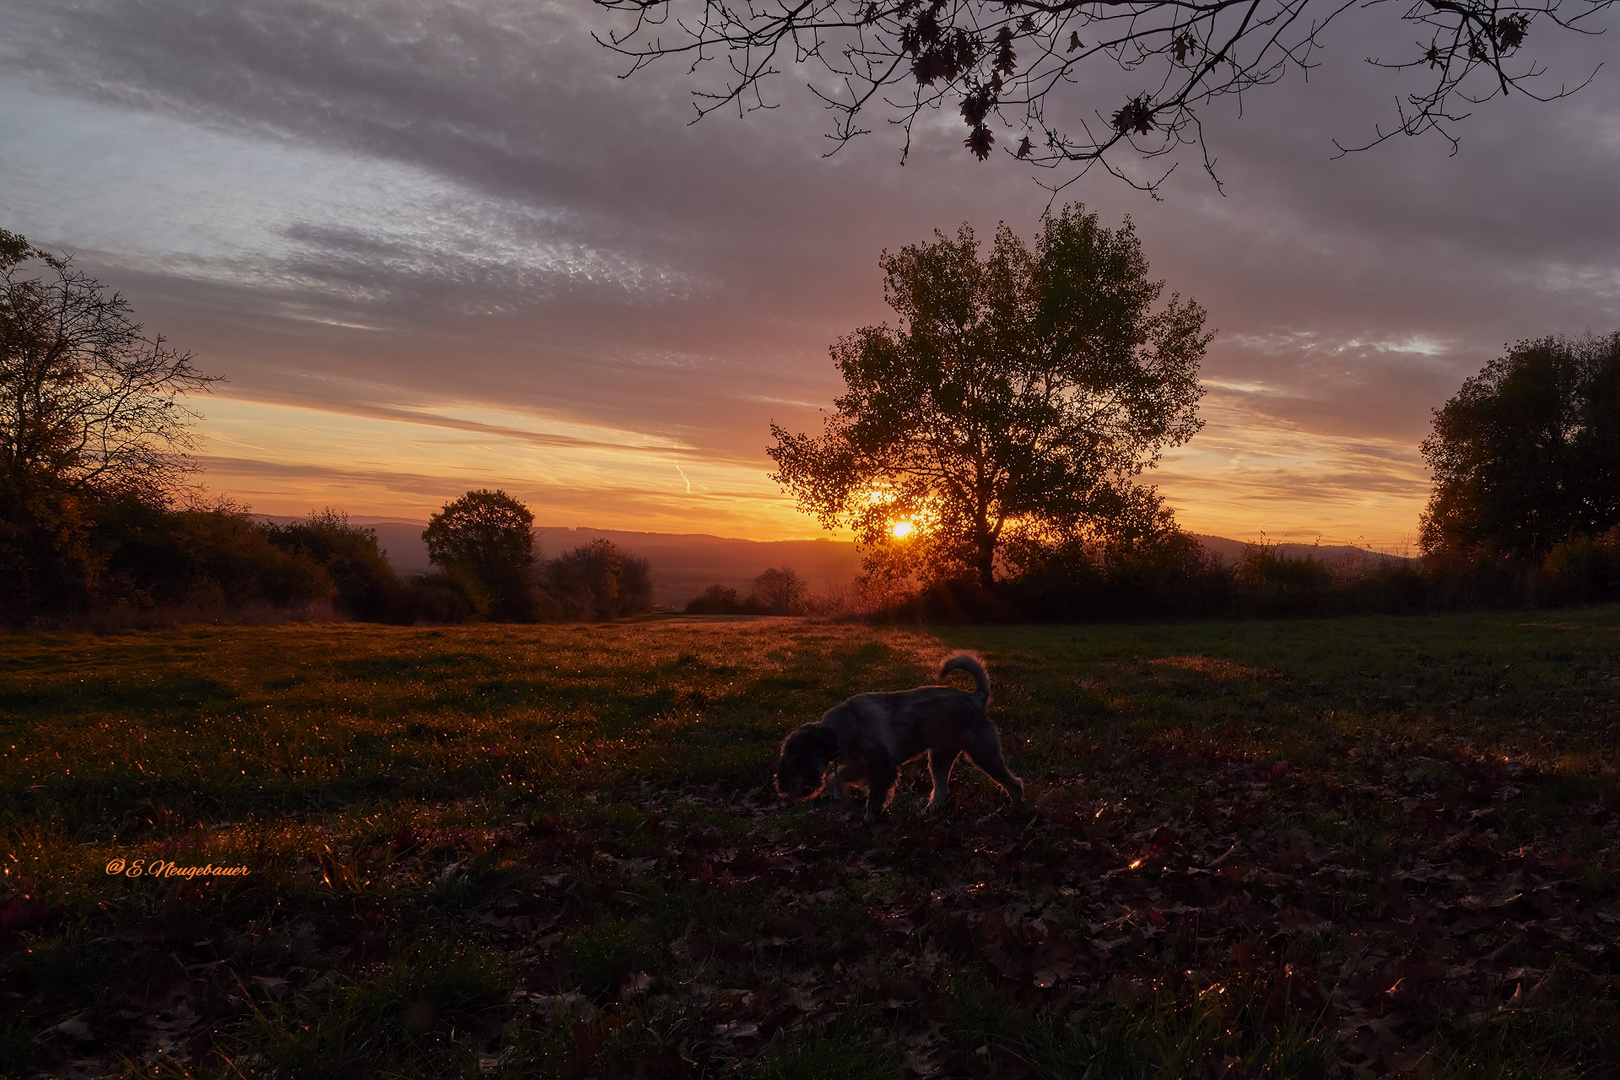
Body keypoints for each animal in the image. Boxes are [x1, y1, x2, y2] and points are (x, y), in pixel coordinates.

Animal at [774, 654, 1023, 822]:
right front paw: (840, 796)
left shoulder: (882, 768)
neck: (838, 730)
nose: (784, 790)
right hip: (939, 759)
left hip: (984, 754)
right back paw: (929, 811)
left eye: (798, 759)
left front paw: (869, 819)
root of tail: (976, 698)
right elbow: (838, 778)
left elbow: (874, 797)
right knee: (942, 789)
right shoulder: (861, 766)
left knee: (1014, 783)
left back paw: (1015, 812)